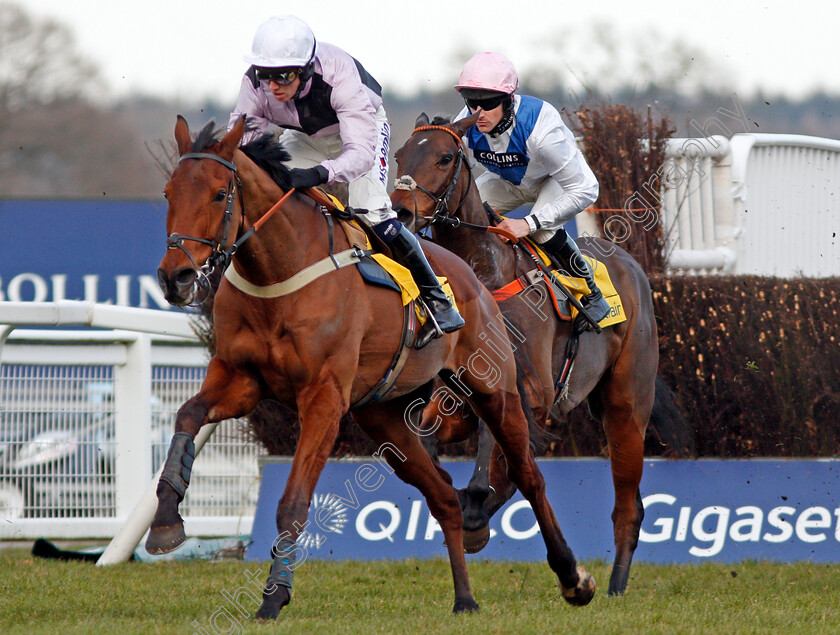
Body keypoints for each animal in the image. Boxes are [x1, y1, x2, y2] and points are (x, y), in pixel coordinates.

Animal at [146, 115, 596, 620]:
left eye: (220, 193)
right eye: (169, 192)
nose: (176, 276)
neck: (279, 275)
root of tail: (475, 280)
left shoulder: (324, 396)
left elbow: (294, 501)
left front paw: (273, 596)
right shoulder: (239, 378)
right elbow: (187, 414)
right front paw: (165, 521)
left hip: (495, 390)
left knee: (528, 475)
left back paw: (573, 578)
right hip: (384, 418)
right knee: (444, 496)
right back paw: (465, 599)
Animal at [390, 113, 660, 596]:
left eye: (445, 157)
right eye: (400, 155)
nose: (400, 211)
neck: (484, 278)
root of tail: (631, 266)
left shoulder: (529, 391)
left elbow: (494, 450)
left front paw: (476, 506)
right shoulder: (455, 395)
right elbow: (433, 434)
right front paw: (461, 503)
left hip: (627, 406)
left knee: (628, 506)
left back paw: (614, 586)